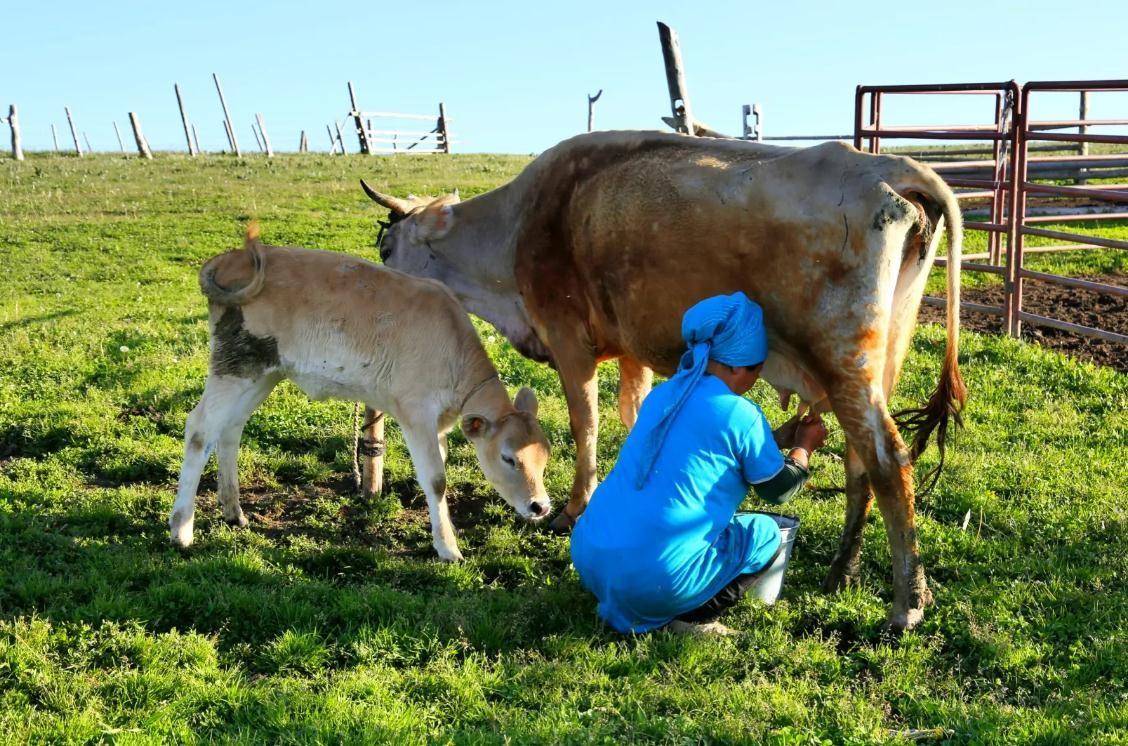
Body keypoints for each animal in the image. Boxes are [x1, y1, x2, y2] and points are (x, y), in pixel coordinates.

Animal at [169, 224, 552, 562]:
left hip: (262, 371)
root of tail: (231, 258)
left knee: (230, 429)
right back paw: (181, 530)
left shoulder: (439, 422)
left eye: (545, 457)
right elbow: (436, 479)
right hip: (234, 365)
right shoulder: (416, 413)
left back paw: (234, 512)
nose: (541, 506)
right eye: (508, 458)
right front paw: (448, 549)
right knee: (200, 430)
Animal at [358, 129, 961, 627]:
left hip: (844, 362)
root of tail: (888, 165)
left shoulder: (568, 338)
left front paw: (574, 508)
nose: (377, 291)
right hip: (877, 364)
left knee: (887, 461)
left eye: (386, 246)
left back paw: (907, 605)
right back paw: (843, 573)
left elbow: (585, 424)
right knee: (862, 465)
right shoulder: (633, 348)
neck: (522, 224)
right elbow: (631, 416)